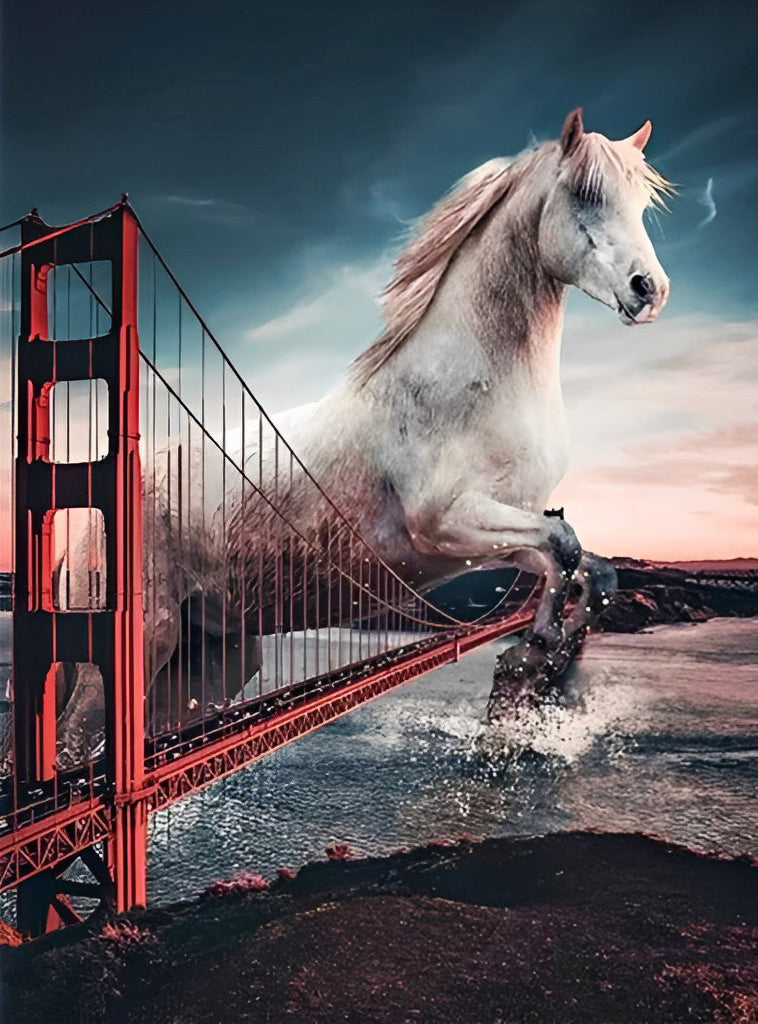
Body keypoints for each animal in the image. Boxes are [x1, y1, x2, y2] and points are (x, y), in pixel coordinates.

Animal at [142, 107, 672, 730]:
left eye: (642, 203)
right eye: (583, 194)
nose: (650, 291)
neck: (466, 385)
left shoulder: (488, 534)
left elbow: (592, 567)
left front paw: (536, 672)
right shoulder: (444, 522)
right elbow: (563, 544)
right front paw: (531, 654)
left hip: (214, 660)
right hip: (147, 644)